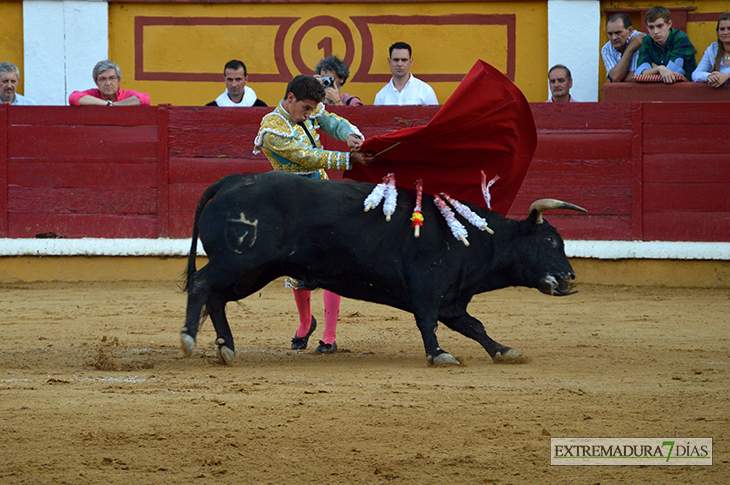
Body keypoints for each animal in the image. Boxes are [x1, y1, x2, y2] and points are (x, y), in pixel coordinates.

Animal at [182, 170, 584, 364]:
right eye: (550, 241)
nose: (569, 276)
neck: (475, 237)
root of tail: (231, 181)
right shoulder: (428, 288)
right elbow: (427, 322)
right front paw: (439, 355)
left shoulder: (452, 300)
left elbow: (475, 327)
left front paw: (504, 351)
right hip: (238, 259)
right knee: (202, 285)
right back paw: (189, 339)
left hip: (254, 271)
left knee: (217, 298)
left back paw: (226, 348)